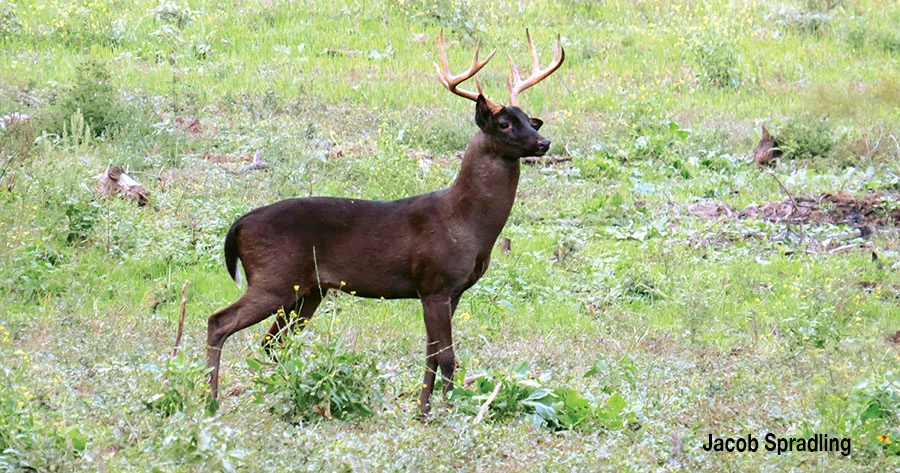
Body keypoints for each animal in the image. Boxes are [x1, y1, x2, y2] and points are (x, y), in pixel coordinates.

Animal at [207, 30, 568, 412]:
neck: (466, 224)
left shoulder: (449, 291)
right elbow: (447, 357)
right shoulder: (435, 282)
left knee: (272, 341)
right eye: (504, 123)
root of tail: (238, 225)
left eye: (529, 118)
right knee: (220, 321)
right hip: (273, 277)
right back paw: (210, 399)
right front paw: (451, 411)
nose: (544, 142)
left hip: (308, 290)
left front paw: (423, 411)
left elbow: (430, 354)